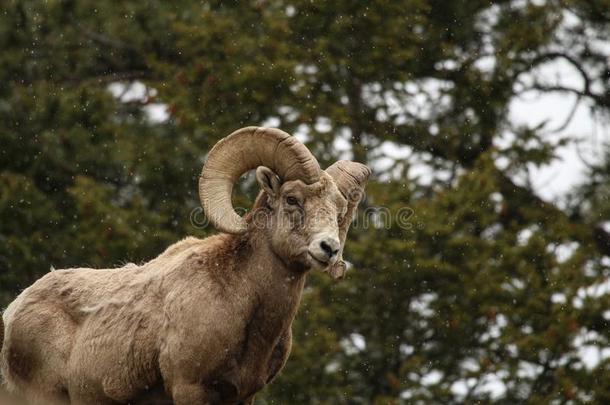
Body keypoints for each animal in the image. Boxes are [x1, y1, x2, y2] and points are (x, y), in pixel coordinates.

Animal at [0, 127, 368, 404]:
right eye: (292, 199)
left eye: (339, 211)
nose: (329, 249)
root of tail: (13, 313)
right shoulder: (190, 389)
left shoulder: (241, 397)